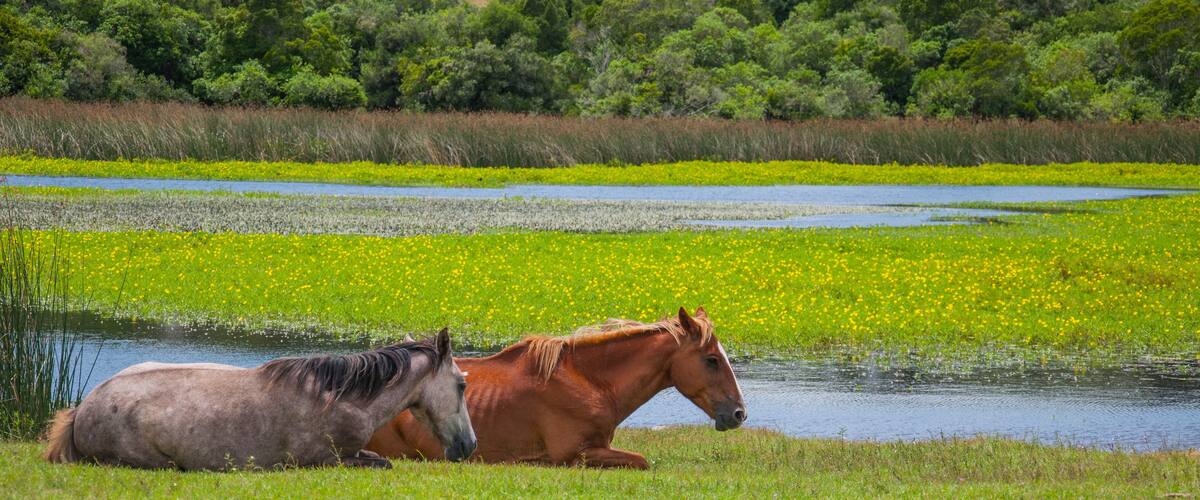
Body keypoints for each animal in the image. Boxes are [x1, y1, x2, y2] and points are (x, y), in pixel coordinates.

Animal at [43, 328, 477, 470]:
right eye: (461, 385)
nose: (470, 445)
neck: (342, 397)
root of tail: (84, 407)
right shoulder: (326, 460)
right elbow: (382, 462)